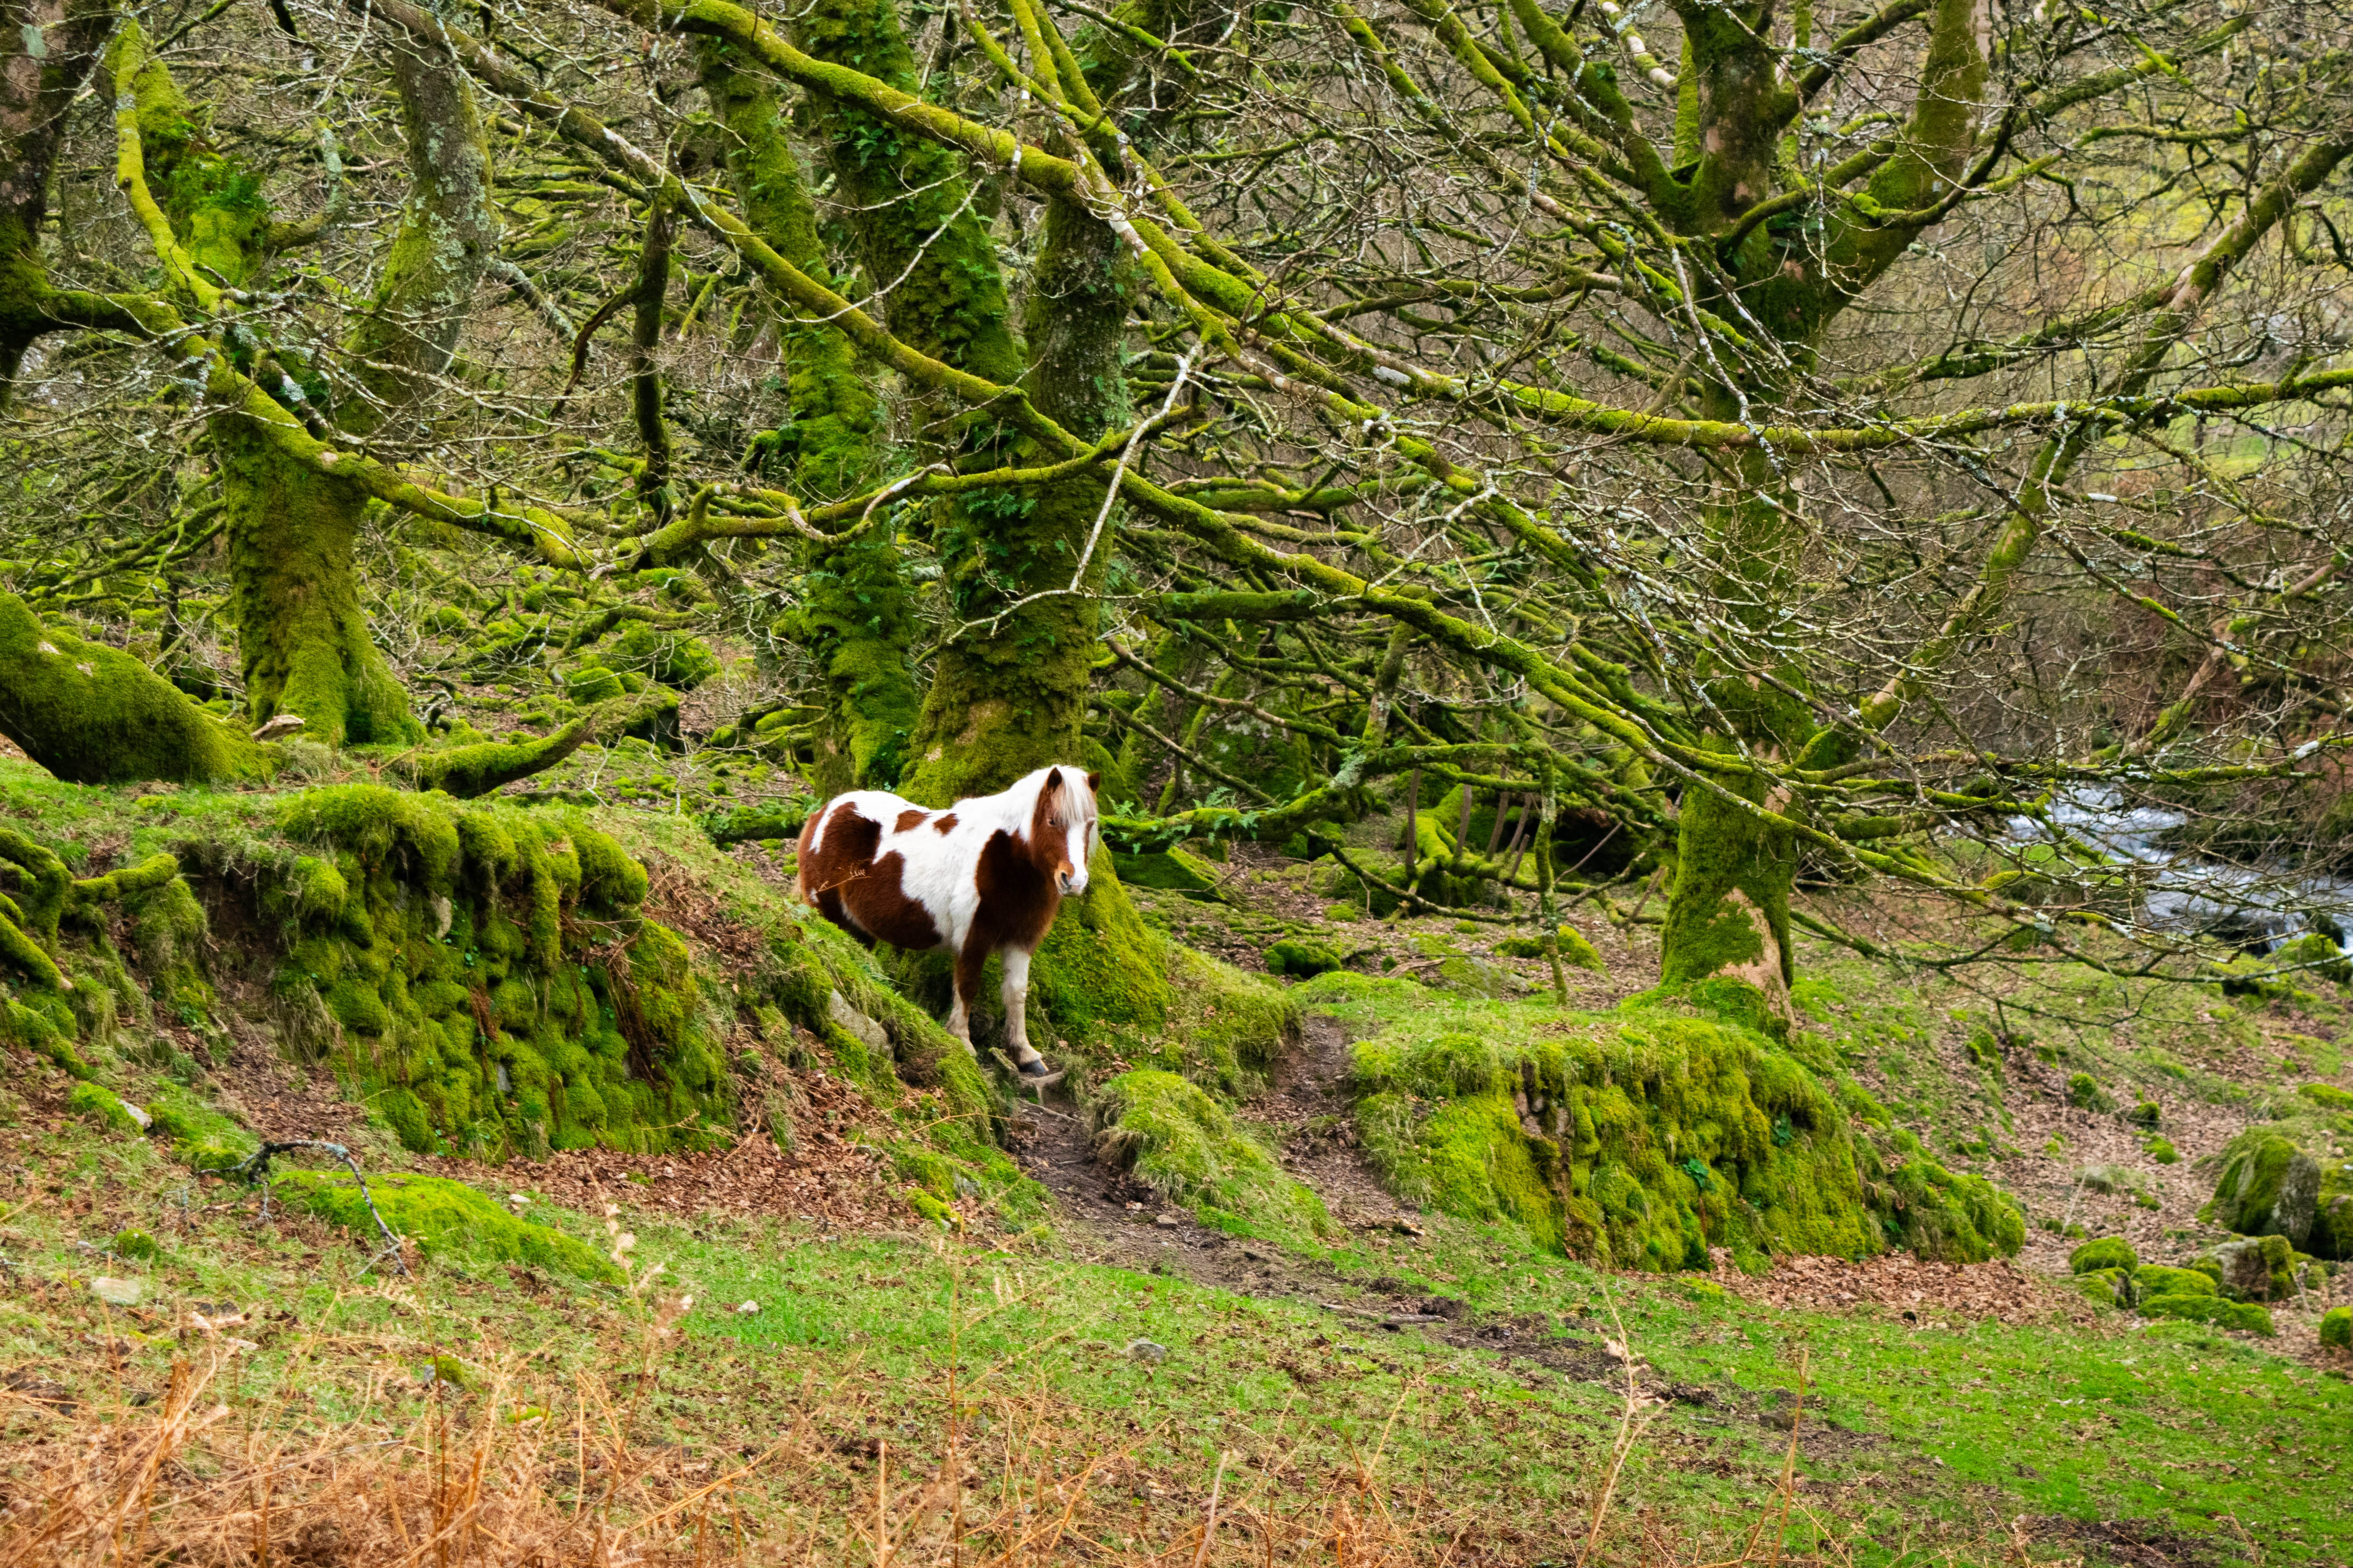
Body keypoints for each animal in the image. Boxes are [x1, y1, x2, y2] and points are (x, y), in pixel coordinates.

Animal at [794, 764, 1101, 1081]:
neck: (1007, 856)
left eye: (1090, 824)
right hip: (823, 910)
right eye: (1053, 821)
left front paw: (1026, 1055)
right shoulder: (973, 936)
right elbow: (967, 984)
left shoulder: (1022, 940)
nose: (1074, 881)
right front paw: (962, 1041)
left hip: (858, 927)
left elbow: (1016, 992)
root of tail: (825, 812)